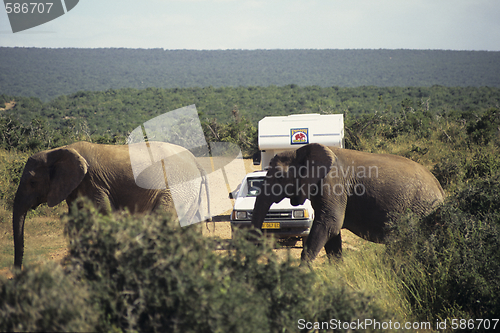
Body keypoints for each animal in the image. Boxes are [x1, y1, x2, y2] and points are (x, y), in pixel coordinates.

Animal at [12, 140, 210, 268]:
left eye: (32, 183)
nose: (17, 272)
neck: (59, 150)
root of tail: (195, 161)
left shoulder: (93, 184)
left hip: (177, 187)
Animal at [252, 143, 444, 262]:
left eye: (279, 176)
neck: (300, 151)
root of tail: (441, 190)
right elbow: (332, 233)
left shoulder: (334, 183)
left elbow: (329, 224)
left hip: (420, 209)